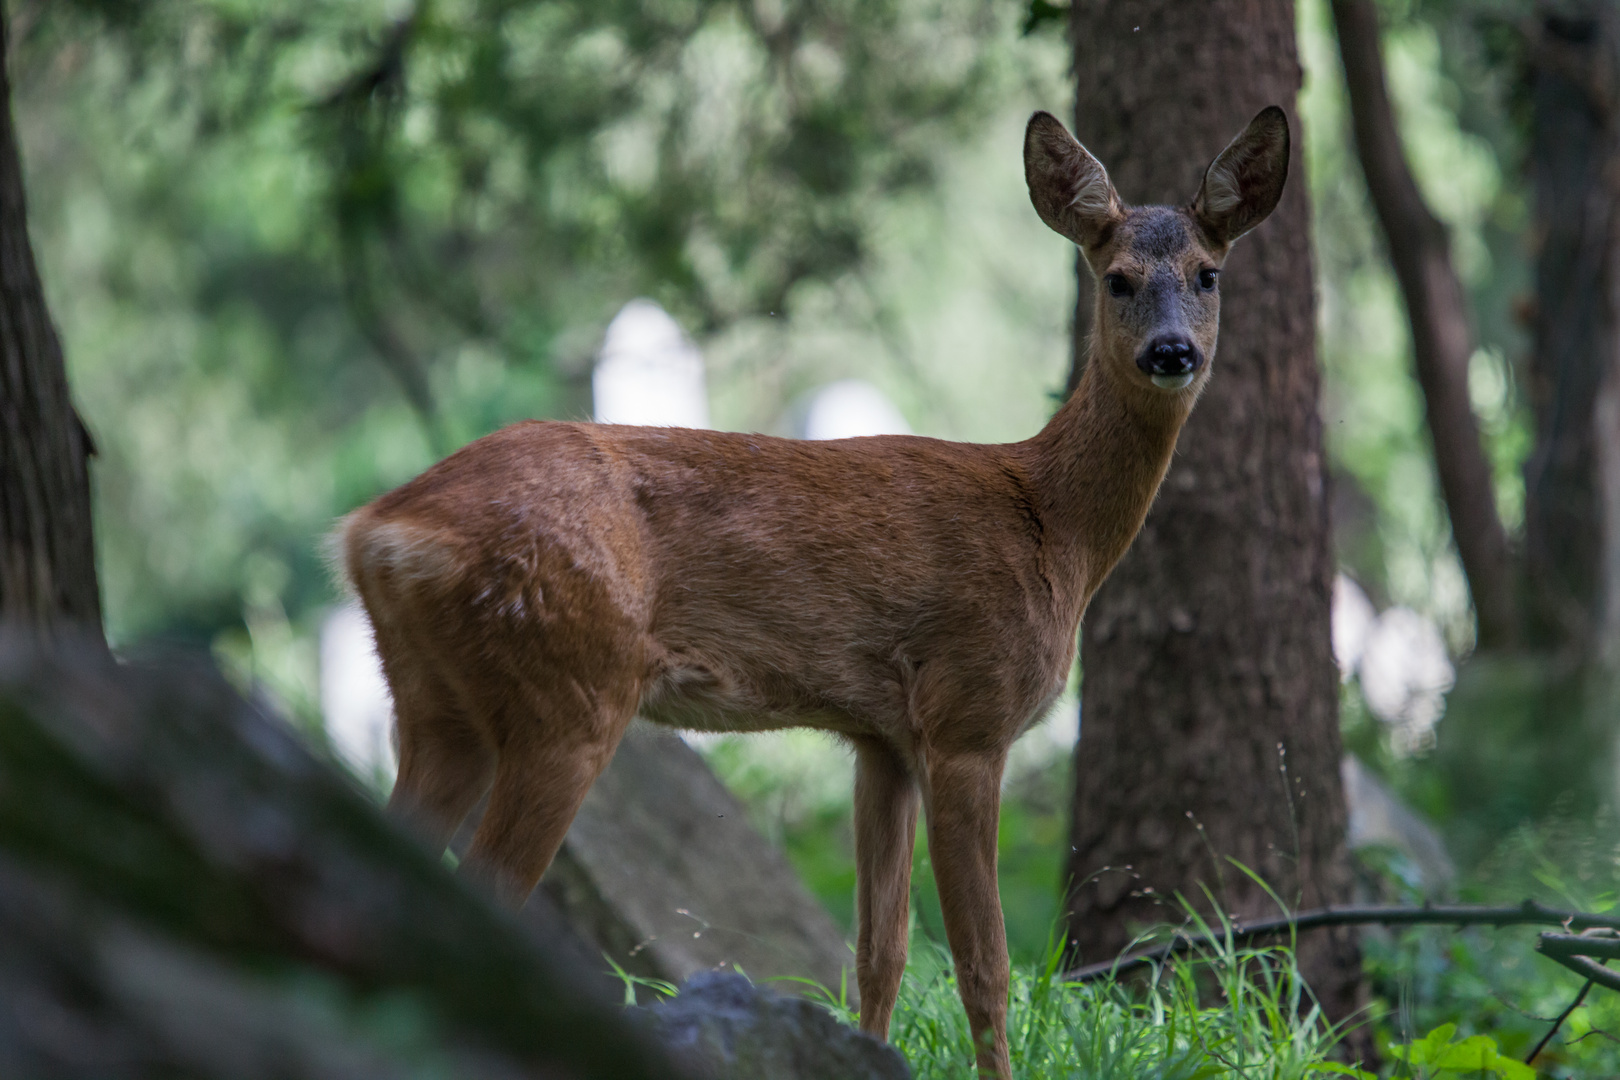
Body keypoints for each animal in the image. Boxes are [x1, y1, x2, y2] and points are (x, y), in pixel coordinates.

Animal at [341, 103, 1289, 1080]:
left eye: (1209, 273)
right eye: (1116, 279)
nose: (1172, 352)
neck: (1051, 524)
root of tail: (382, 530)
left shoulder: (880, 737)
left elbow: (881, 952)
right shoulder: (968, 716)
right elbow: (985, 965)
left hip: (433, 706)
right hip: (566, 689)